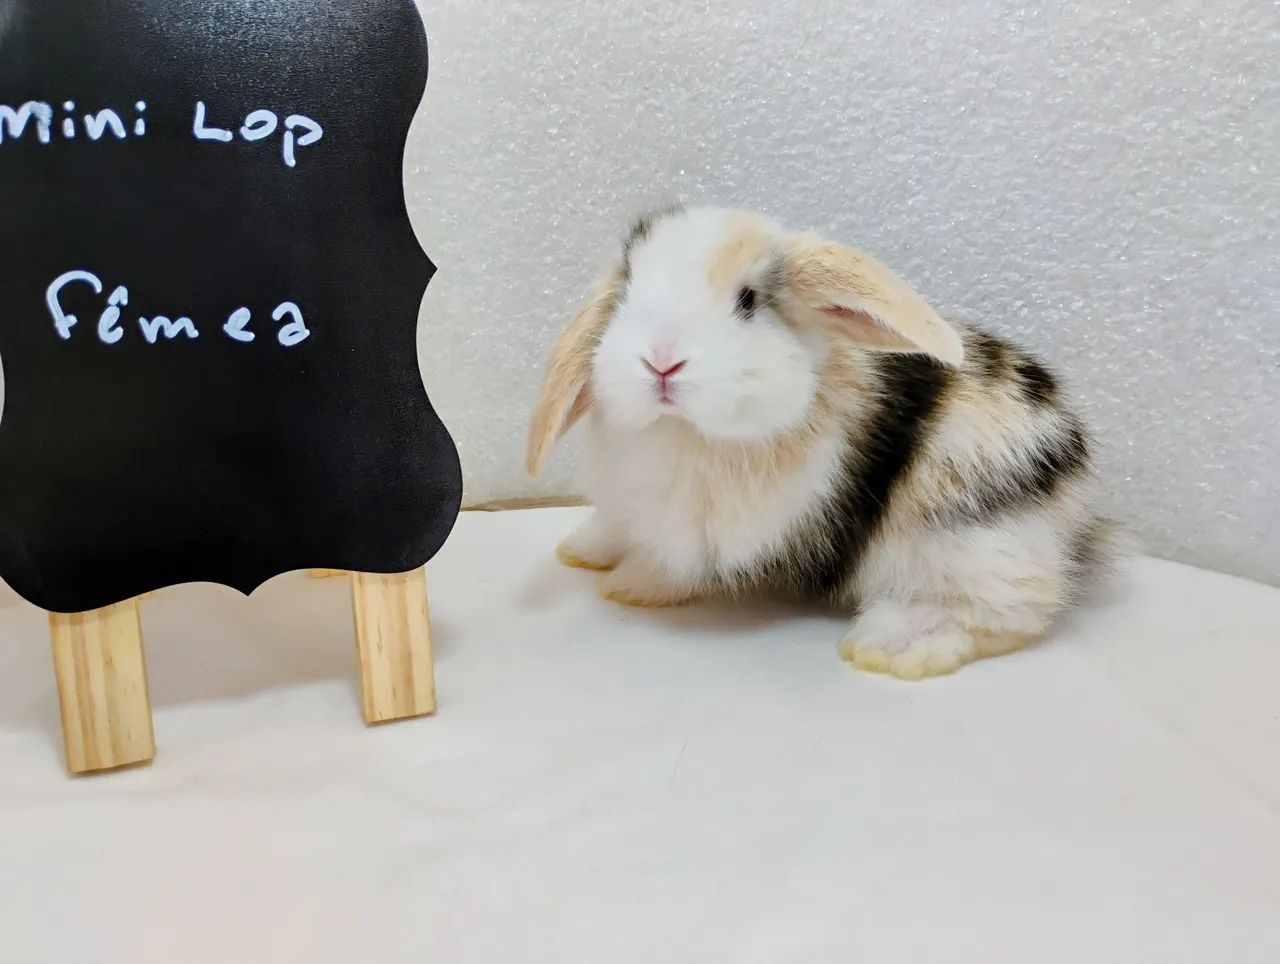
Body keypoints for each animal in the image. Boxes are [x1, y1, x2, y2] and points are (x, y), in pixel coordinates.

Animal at [526, 204, 1112, 680]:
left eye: (748, 301)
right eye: (626, 292)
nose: (661, 361)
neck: (681, 429)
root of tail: (1079, 516)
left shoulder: (707, 533)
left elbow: (673, 566)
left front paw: (630, 586)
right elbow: (618, 530)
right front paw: (583, 549)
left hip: (967, 544)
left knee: (1018, 607)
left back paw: (891, 646)